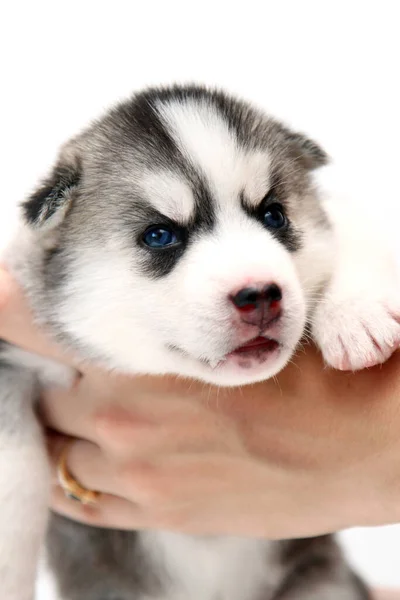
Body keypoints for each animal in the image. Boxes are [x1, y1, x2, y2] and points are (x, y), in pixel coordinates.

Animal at [1, 84, 398, 600]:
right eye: (159, 235)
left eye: (274, 215)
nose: (260, 294)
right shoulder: (15, 357)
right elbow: (16, 478)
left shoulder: (337, 215)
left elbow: (351, 233)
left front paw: (356, 313)